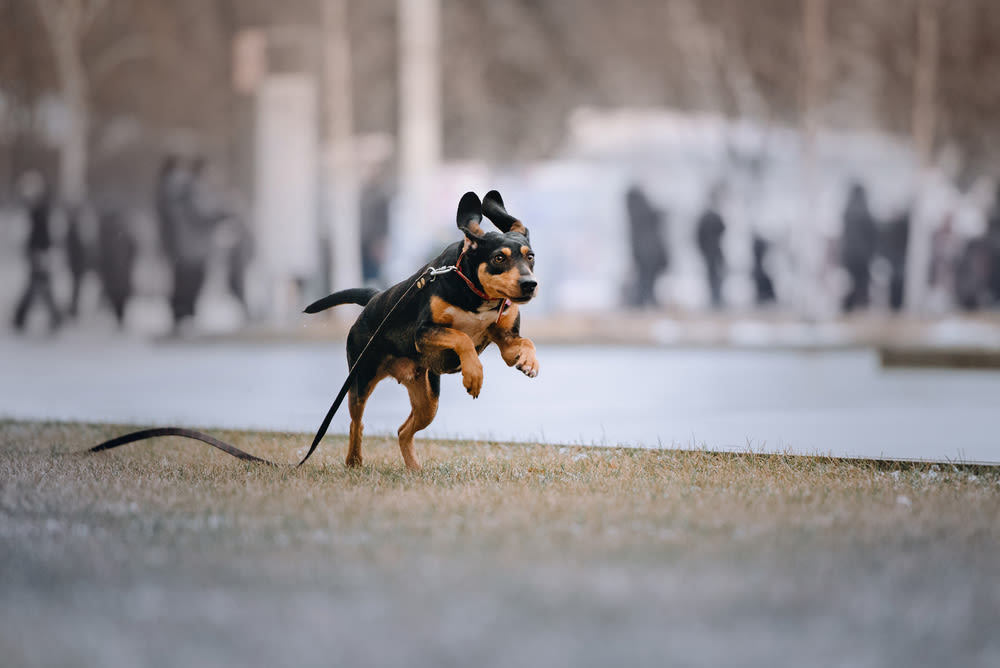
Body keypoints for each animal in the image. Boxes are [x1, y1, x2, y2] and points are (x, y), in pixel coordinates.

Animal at [304, 188, 540, 470]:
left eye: (530, 256)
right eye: (499, 257)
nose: (529, 284)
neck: (475, 292)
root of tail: (374, 297)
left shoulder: (507, 338)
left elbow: (525, 343)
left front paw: (529, 362)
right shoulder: (424, 333)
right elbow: (462, 337)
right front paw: (473, 375)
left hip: (428, 399)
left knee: (403, 431)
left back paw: (414, 468)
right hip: (360, 379)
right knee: (356, 423)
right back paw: (354, 461)